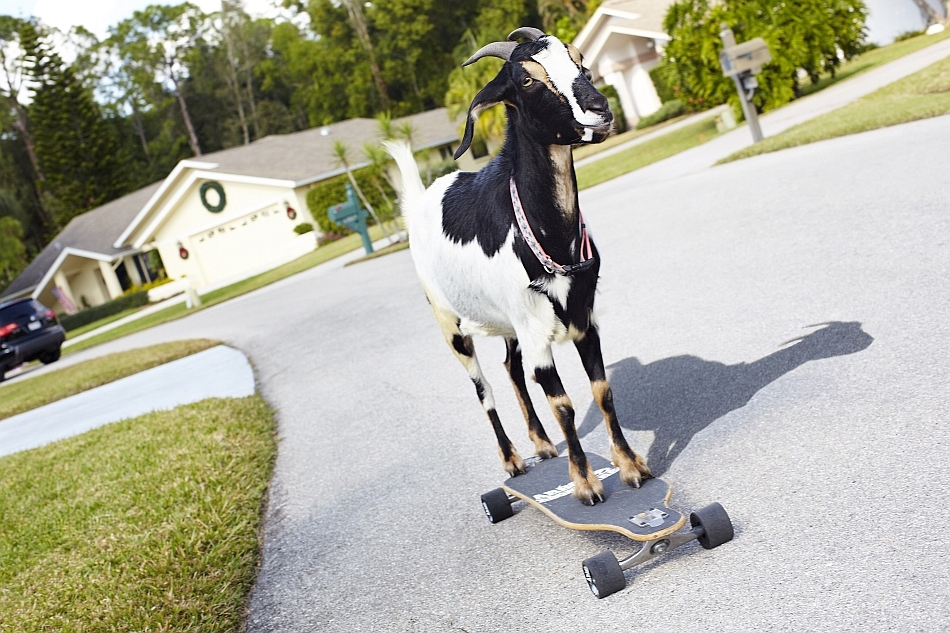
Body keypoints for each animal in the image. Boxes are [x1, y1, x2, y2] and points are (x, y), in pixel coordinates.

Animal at [385, 27, 650, 505]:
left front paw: (630, 466)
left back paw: (542, 444)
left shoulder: (583, 320)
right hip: (450, 324)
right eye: (527, 80)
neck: (549, 236)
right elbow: (563, 404)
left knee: (510, 368)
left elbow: (602, 390)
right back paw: (511, 460)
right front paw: (585, 485)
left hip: (509, 323)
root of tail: (419, 202)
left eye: (580, 61)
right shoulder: (536, 333)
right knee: (483, 387)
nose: (600, 110)